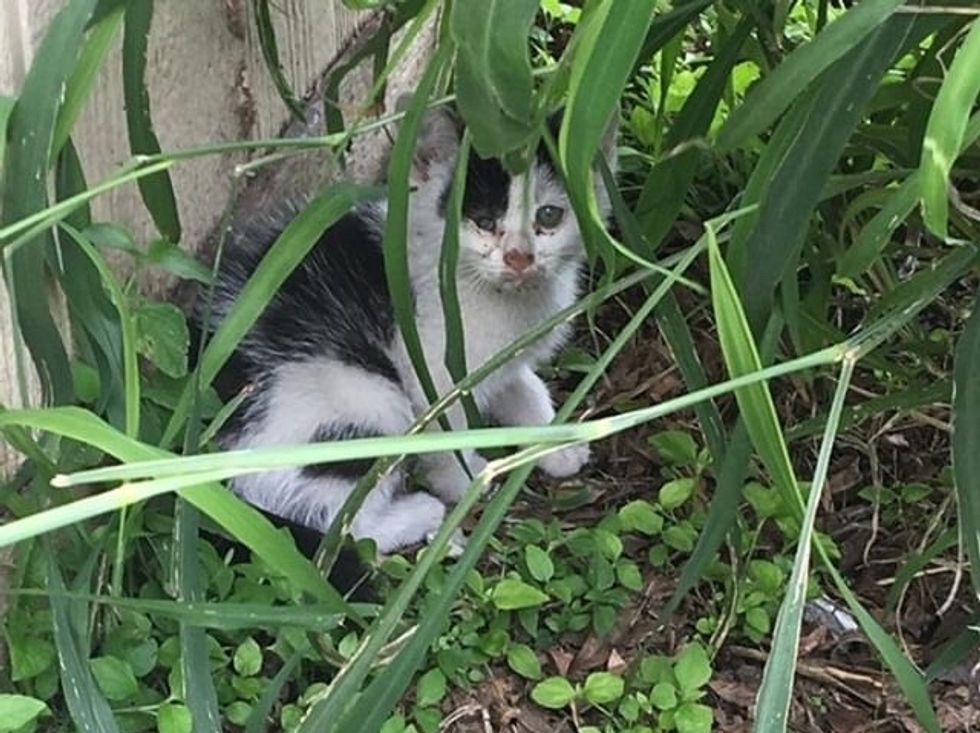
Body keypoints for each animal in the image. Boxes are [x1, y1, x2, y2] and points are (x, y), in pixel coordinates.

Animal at [203, 107, 616, 556]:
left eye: (549, 215)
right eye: (484, 222)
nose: (519, 257)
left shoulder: (503, 357)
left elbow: (523, 389)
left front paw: (556, 443)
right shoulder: (435, 371)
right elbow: (446, 433)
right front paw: (466, 478)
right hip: (363, 399)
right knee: (344, 525)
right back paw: (419, 512)